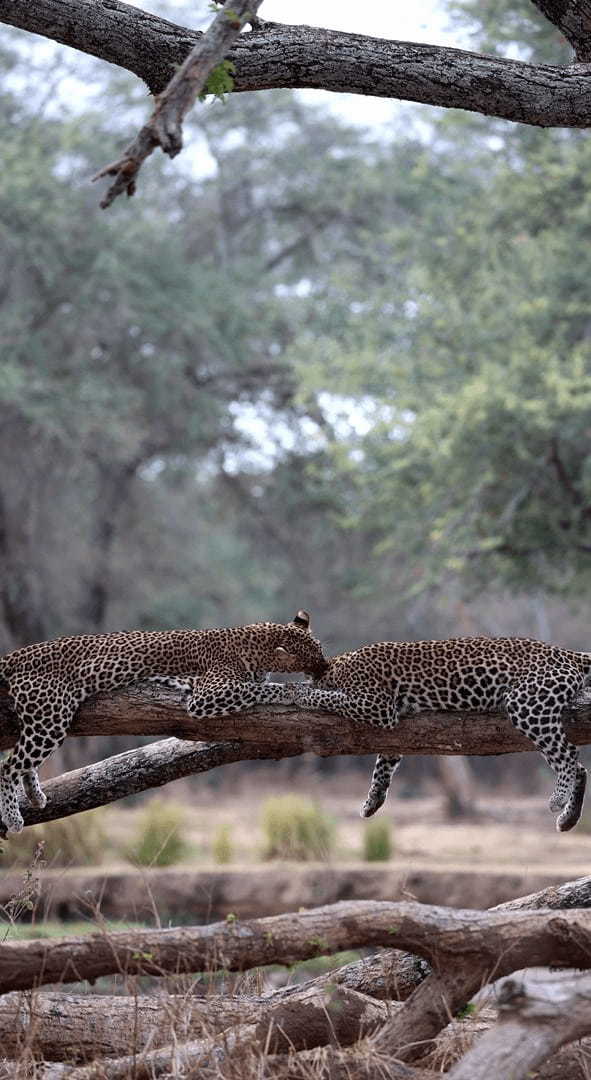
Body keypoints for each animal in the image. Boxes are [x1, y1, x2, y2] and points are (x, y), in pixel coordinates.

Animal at [0, 609, 328, 833]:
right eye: (313, 655)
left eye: (320, 648)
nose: (325, 666)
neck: (258, 646)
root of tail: (19, 653)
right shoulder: (206, 695)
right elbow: (261, 688)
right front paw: (292, 691)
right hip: (51, 717)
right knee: (8, 766)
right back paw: (13, 817)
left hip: (44, 720)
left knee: (22, 760)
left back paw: (35, 794)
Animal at [291, 635, 591, 829]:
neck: (337, 666)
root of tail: (564, 652)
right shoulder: (392, 731)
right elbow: (384, 765)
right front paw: (373, 800)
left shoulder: (377, 705)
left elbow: (330, 697)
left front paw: (300, 694)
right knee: (579, 766)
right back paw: (569, 818)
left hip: (527, 704)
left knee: (569, 757)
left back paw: (558, 799)